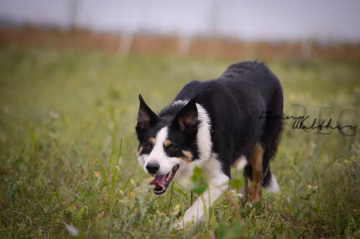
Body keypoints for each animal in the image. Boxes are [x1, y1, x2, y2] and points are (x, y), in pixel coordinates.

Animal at [136, 60, 282, 227]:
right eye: (148, 146)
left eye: (172, 147)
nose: (152, 167)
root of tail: (262, 65)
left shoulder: (221, 177)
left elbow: (198, 206)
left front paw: (178, 228)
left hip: (261, 151)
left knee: (257, 184)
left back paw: (251, 209)